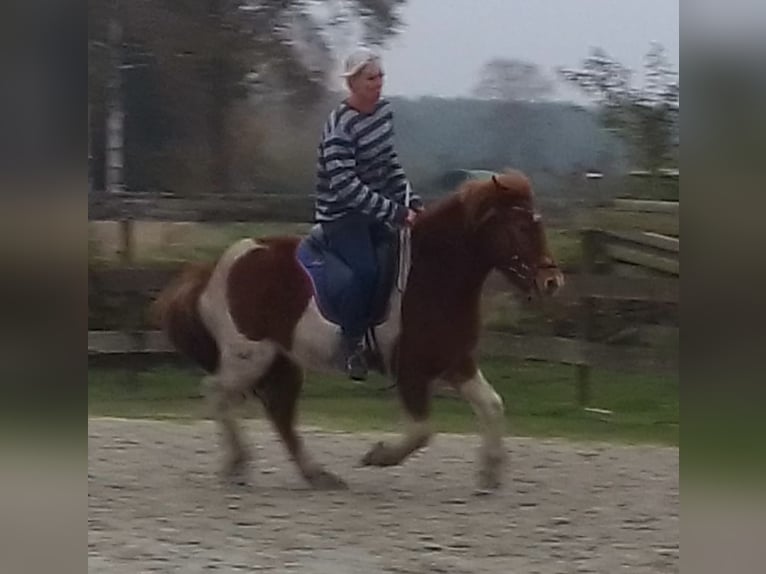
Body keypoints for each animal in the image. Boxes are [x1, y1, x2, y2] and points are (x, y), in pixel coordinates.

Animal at [153, 169, 568, 492]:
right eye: (520, 226)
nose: (552, 282)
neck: (434, 274)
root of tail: (215, 268)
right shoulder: (412, 369)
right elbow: (422, 430)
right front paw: (379, 456)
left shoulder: (455, 360)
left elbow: (492, 405)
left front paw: (490, 473)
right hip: (249, 356)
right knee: (218, 393)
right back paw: (237, 463)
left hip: (282, 362)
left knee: (279, 413)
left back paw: (317, 475)